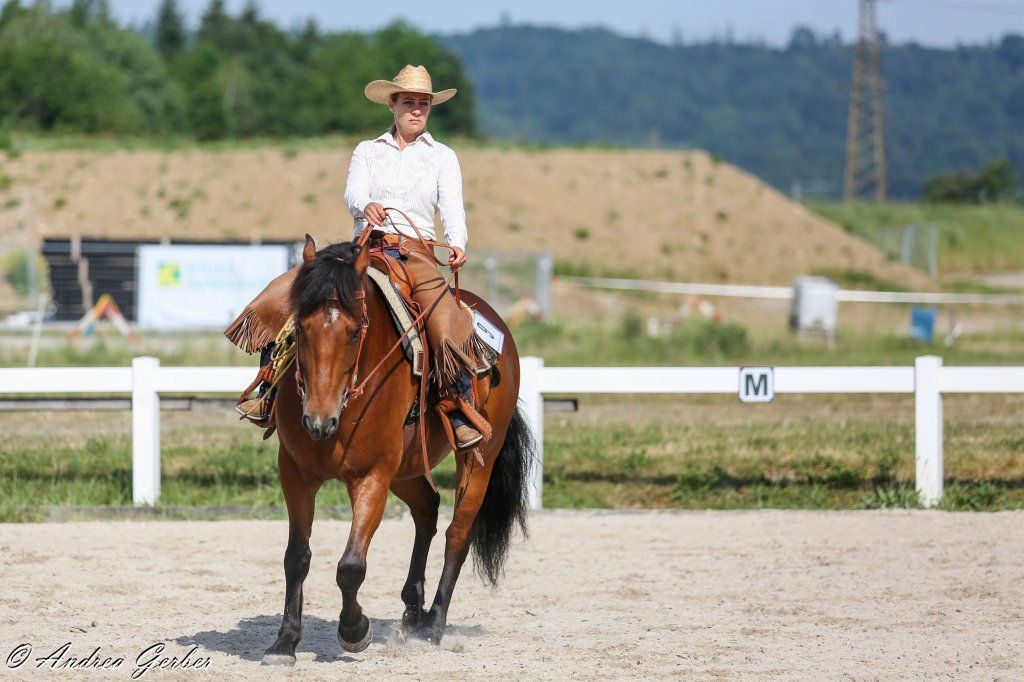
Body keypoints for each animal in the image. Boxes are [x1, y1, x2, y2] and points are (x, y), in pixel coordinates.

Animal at [260, 235, 533, 666]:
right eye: (300, 327)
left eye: (355, 331)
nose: (318, 421)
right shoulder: (296, 473)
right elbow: (296, 557)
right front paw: (285, 641)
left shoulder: (372, 476)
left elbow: (350, 566)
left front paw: (355, 631)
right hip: (406, 467)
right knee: (427, 509)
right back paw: (412, 609)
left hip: (477, 459)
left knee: (458, 533)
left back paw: (433, 624)